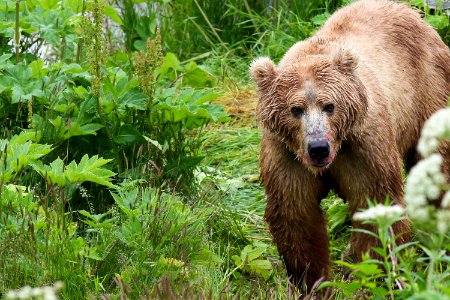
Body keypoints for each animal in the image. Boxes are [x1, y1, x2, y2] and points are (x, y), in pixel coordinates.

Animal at [251, 0, 448, 294]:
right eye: (296, 109)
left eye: (329, 106)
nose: (318, 148)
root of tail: (413, 12)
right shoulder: (286, 155)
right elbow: (295, 212)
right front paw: (312, 281)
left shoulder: (363, 146)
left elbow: (375, 200)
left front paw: (370, 272)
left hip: (427, 94)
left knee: (437, 163)